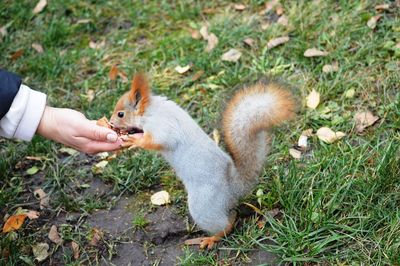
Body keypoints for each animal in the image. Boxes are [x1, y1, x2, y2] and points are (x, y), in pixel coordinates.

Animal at [108, 73, 296, 249]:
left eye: (120, 114)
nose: (110, 123)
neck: (149, 111)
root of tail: (233, 188)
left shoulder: (162, 126)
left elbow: (159, 141)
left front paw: (134, 140)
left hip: (203, 205)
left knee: (226, 226)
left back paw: (209, 239)